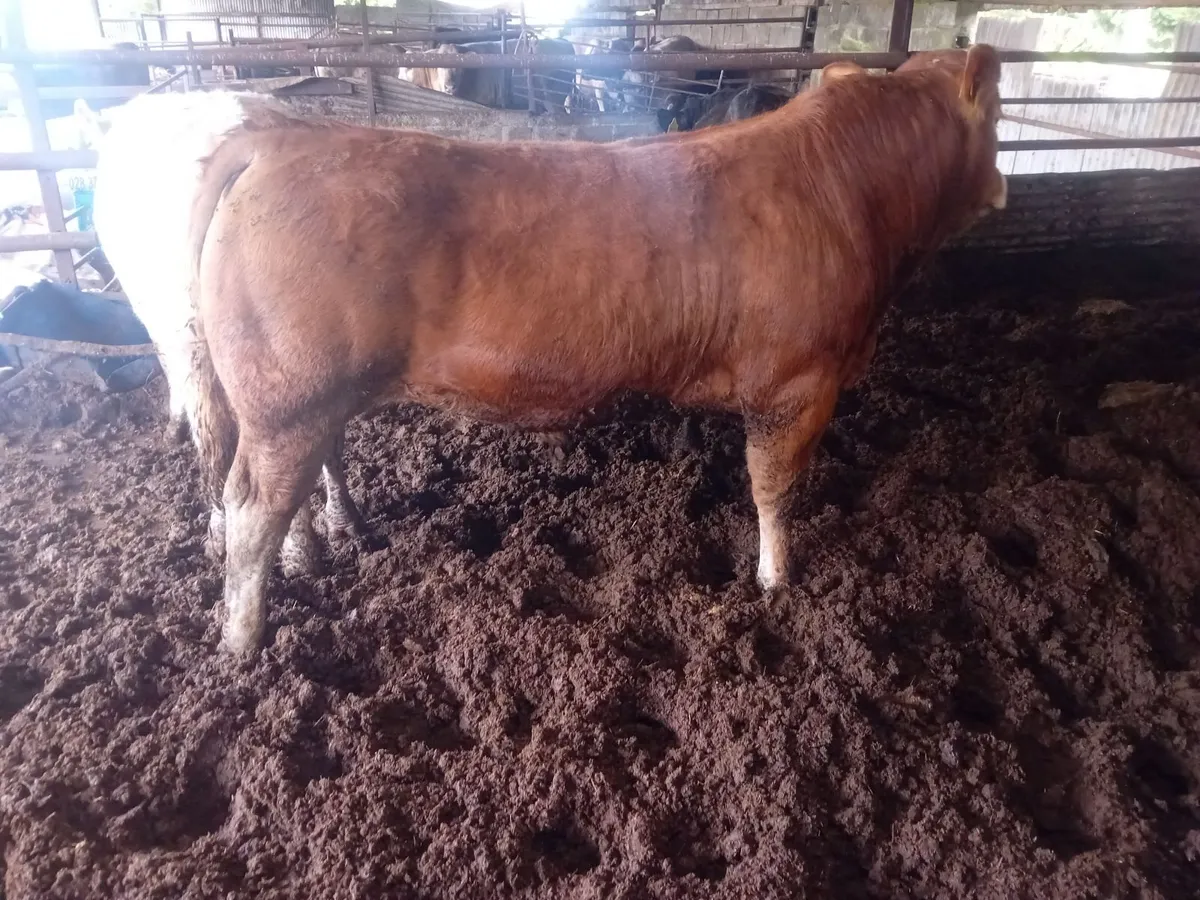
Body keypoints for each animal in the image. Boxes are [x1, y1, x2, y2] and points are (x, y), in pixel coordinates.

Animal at [160, 46, 1008, 654]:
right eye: (999, 115)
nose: (1004, 183)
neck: (846, 188)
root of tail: (279, 141)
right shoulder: (796, 384)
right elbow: (773, 489)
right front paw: (776, 579)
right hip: (290, 397)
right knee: (252, 507)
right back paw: (243, 643)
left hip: (302, 398)